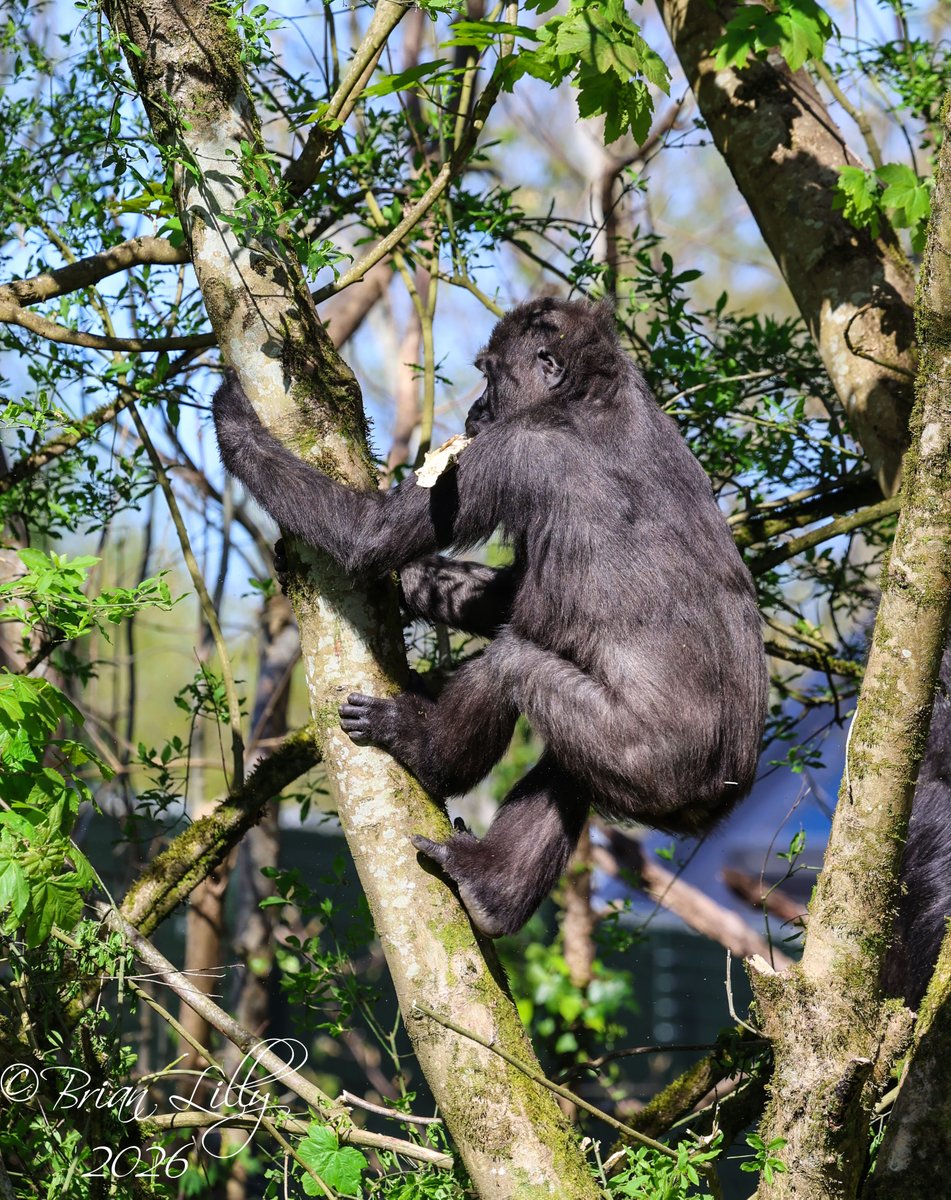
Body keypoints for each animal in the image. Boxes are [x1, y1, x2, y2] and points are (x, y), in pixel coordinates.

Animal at [212, 298, 770, 938]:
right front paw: (415, 584)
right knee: (566, 768)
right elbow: (506, 593)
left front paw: (235, 422)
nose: (476, 409)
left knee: (511, 663)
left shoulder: (510, 449)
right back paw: (494, 888)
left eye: (490, 374)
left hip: (648, 756)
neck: (590, 393)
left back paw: (427, 752)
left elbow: (369, 533)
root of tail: (723, 792)